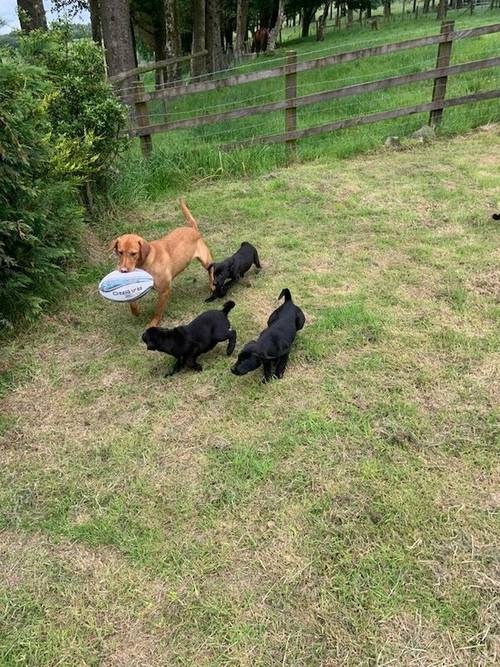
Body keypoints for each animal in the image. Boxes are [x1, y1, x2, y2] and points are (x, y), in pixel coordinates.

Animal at [108, 197, 214, 328]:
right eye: (120, 252)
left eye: (133, 253)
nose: (123, 271)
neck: (147, 262)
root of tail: (192, 228)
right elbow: (132, 302)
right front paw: (136, 312)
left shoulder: (164, 291)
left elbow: (158, 311)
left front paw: (153, 323)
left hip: (206, 261)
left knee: (211, 269)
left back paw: (212, 285)